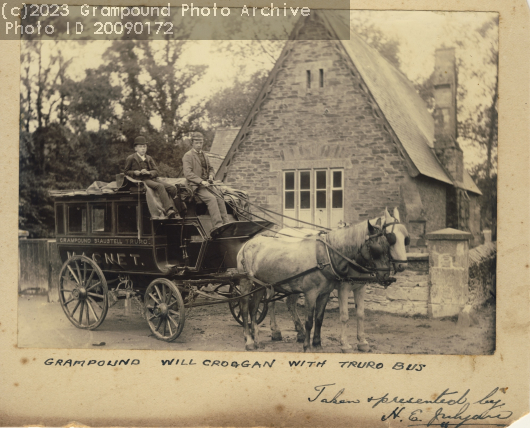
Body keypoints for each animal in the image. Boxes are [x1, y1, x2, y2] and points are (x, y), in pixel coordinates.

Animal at [235, 209, 404, 352]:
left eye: (388, 244)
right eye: (376, 248)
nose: (386, 276)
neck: (325, 256)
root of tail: (246, 244)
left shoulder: (325, 293)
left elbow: (319, 318)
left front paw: (317, 344)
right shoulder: (311, 293)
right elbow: (310, 320)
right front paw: (307, 346)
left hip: (260, 285)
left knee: (254, 308)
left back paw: (256, 339)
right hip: (246, 283)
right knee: (245, 308)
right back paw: (249, 340)